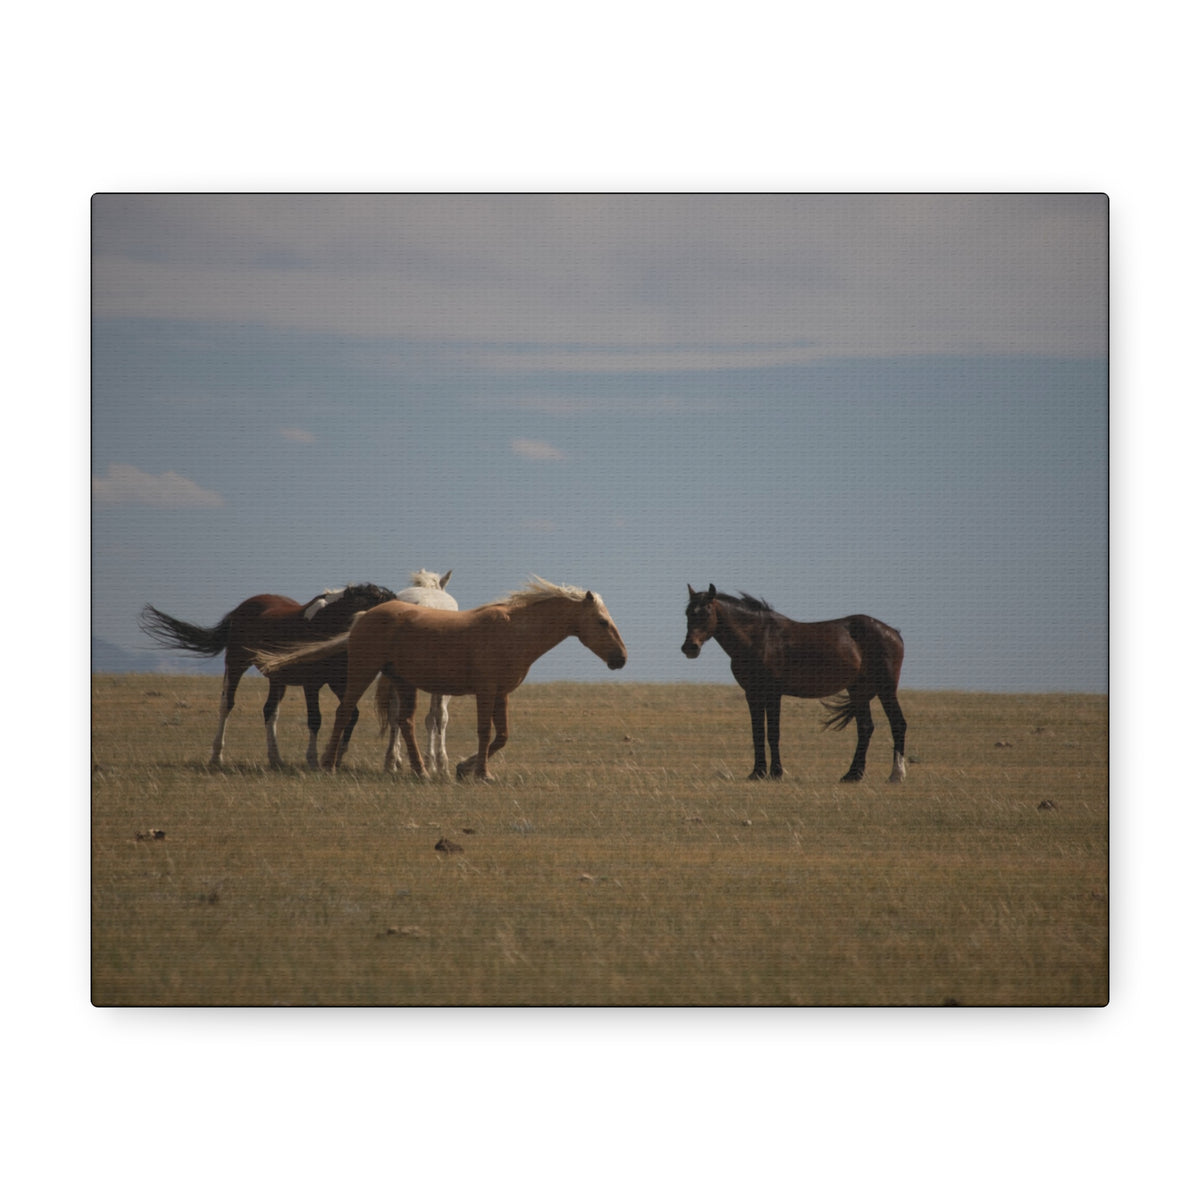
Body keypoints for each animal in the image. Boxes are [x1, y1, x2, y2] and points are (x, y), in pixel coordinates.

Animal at [138, 582, 397, 768]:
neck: (326, 623)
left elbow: (350, 715)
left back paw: (275, 758)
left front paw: (336, 757)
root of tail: (240, 609)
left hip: (276, 678)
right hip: (236, 664)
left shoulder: (338, 683)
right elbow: (315, 719)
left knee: (270, 711)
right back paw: (216, 757)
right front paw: (312, 758)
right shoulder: (311, 684)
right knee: (226, 705)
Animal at [253, 577, 628, 780]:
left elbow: (502, 735)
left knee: (404, 721)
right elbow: (485, 732)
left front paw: (463, 768)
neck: (512, 631)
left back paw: (420, 769)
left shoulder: (502, 694)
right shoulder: (485, 691)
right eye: (601, 621)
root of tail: (364, 616)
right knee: (345, 712)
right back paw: (329, 765)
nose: (621, 659)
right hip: (363, 672)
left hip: (403, 682)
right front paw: (481, 774)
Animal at [681, 584, 907, 784]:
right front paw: (757, 772)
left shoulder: (773, 693)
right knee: (865, 728)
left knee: (898, 723)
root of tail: (894, 633)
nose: (690, 647)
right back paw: (853, 775)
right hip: (858, 691)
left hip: (886, 689)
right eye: (688, 613)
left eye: (706, 612)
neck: (759, 638)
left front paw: (776, 773)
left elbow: (773, 733)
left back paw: (896, 774)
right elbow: (757, 732)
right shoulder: (752, 694)